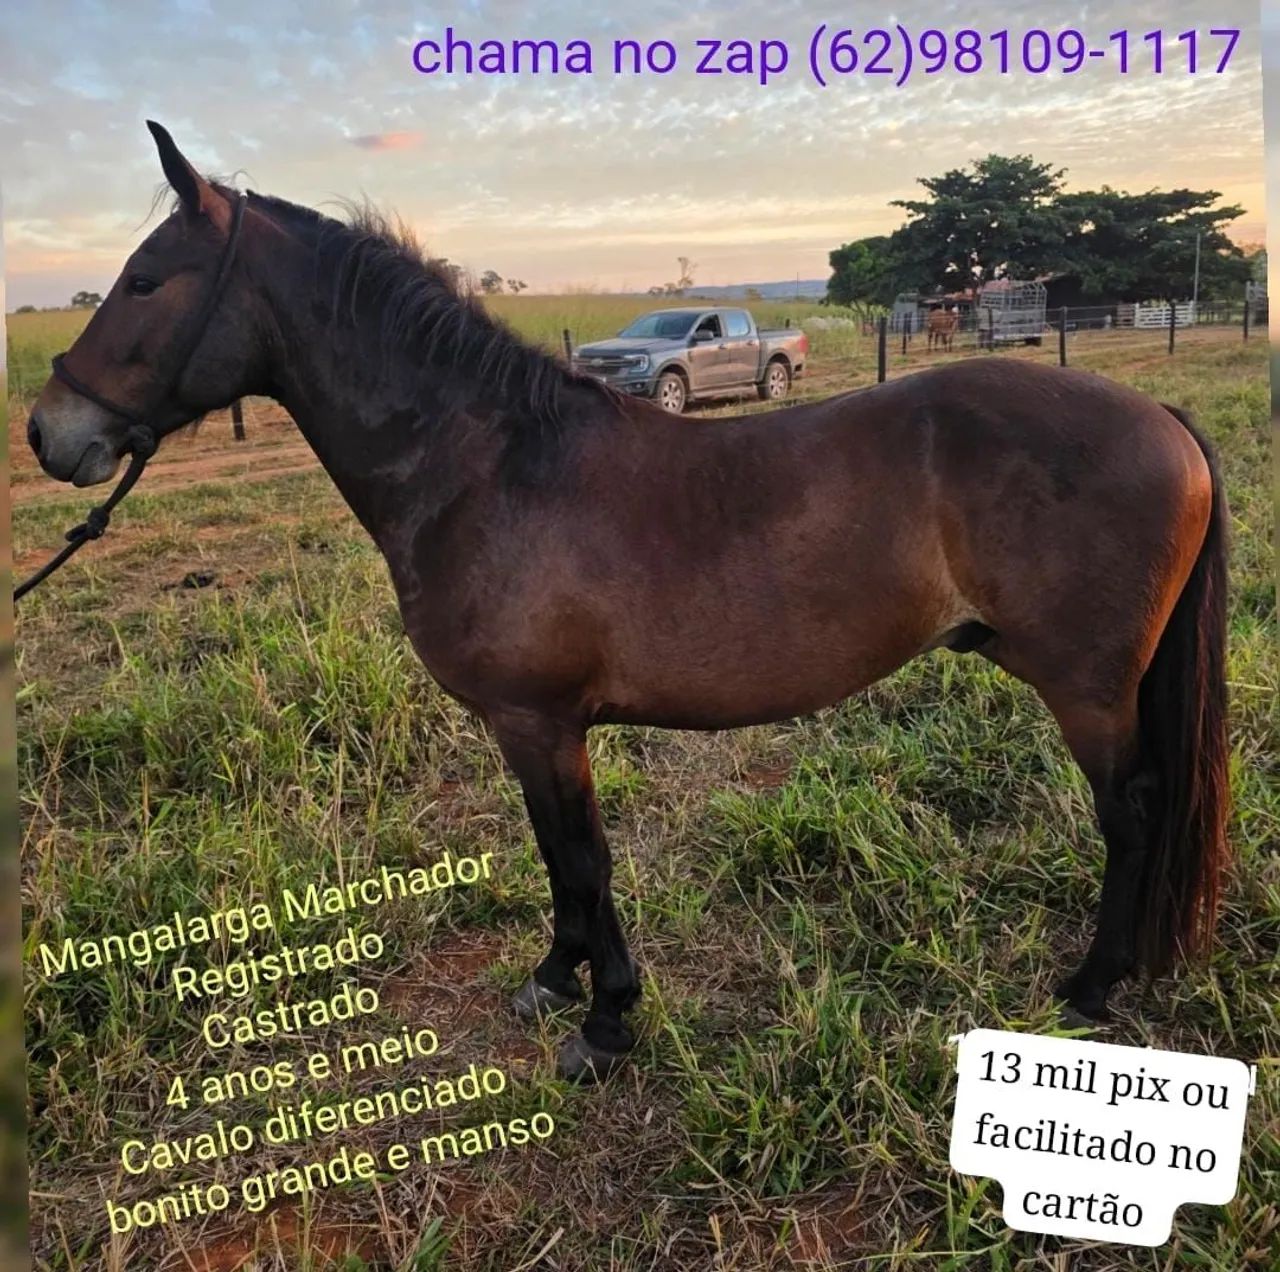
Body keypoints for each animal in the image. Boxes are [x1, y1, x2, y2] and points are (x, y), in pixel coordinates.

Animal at [27, 124, 1229, 1081]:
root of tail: (1160, 419)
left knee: (1130, 812)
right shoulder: (530, 730)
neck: (486, 464)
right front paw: (559, 977)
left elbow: (581, 856)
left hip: (1087, 691)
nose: (48, 432)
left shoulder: (539, 720)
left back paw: (1090, 986)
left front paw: (605, 1021)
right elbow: (558, 857)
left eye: (147, 281)